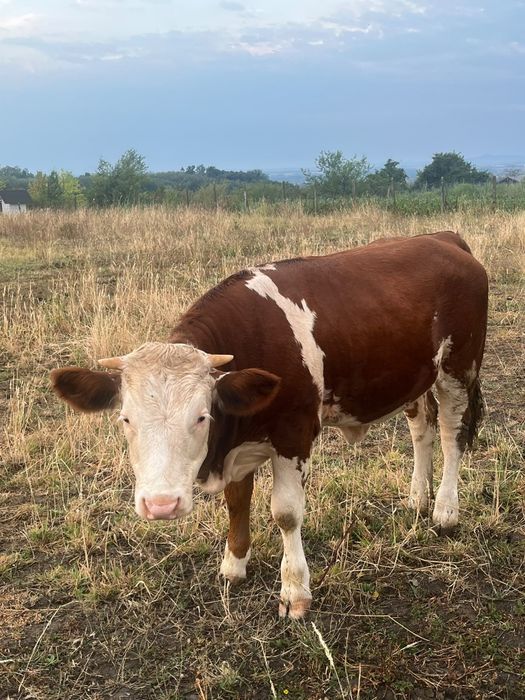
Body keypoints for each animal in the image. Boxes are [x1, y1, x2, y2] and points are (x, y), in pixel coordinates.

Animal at [50, 231, 488, 618]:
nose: (161, 505)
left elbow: (286, 514)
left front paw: (294, 590)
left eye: (201, 416)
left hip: (458, 368)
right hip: (416, 377)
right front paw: (234, 564)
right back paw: (417, 496)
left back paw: (445, 509)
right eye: (126, 418)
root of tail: (443, 238)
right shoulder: (239, 438)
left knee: (450, 435)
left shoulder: (294, 435)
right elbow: (237, 500)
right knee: (422, 429)